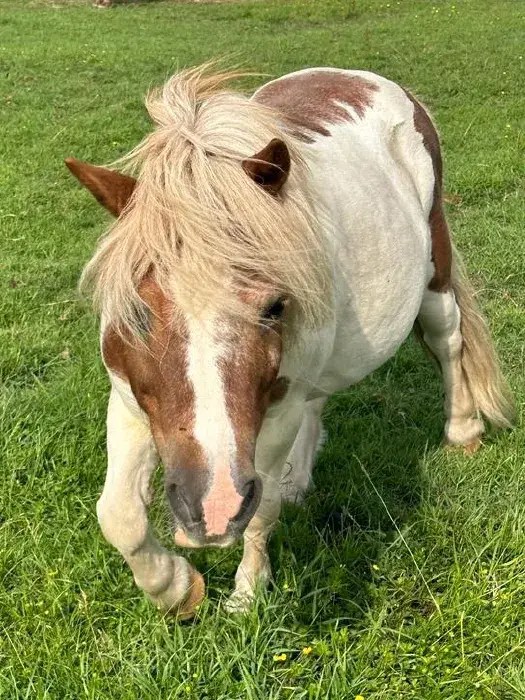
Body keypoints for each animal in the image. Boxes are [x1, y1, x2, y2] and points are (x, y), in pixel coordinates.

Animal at [65, 65, 514, 618]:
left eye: (274, 307)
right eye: (138, 313)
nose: (211, 509)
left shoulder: (276, 412)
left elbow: (261, 510)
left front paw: (246, 595)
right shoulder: (129, 398)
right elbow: (120, 514)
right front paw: (176, 589)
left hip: (435, 275)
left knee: (448, 343)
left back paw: (462, 432)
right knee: (320, 397)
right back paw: (298, 479)